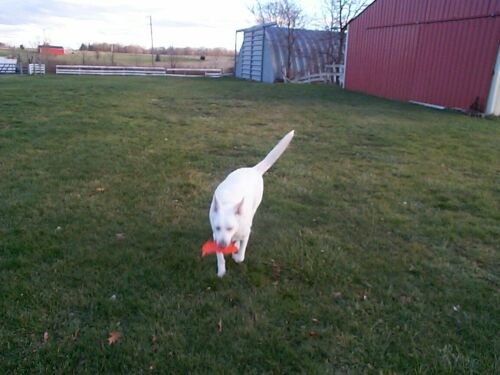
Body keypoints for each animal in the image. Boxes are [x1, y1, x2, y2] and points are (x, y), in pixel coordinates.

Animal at [209, 131, 294, 278]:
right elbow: (220, 257)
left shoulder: (245, 233)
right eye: (218, 227)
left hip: (254, 207)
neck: (229, 203)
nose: (222, 245)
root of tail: (254, 169)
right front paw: (221, 271)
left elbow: (241, 254)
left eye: (230, 228)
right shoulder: (216, 235)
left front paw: (236, 255)